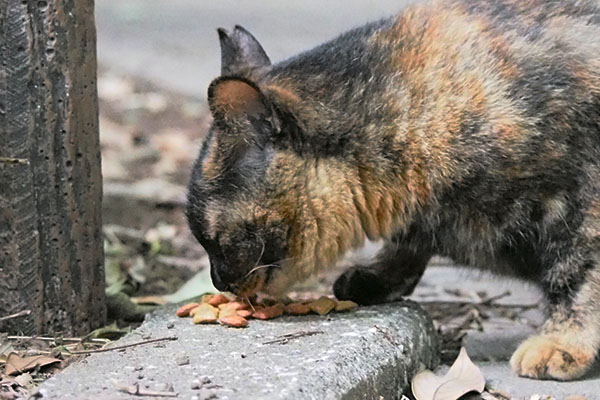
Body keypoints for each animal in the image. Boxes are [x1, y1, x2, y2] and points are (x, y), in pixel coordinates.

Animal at [186, 0, 600, 382]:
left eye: (213, 239)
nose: (217, 280)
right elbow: (406, 246)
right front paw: (376, 278)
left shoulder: (586, 206)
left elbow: (579, 275)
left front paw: (564, 342)